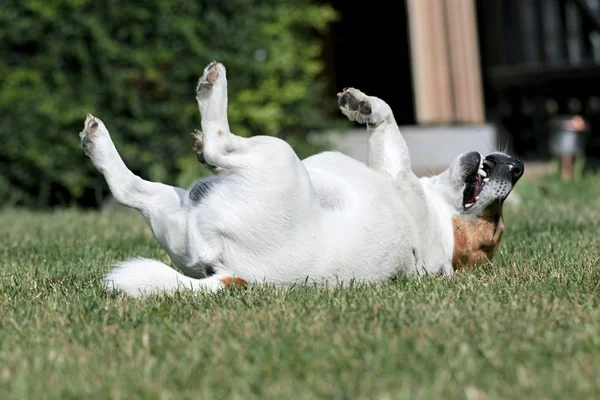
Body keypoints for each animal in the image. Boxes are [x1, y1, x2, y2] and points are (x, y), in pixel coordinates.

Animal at [78, 60, 520, 296]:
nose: (516, 167)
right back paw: (98, 141)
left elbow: (391, 125)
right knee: (128, 188)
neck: (439, 227)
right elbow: (385, 116)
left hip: (276, 155)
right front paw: (359, 104)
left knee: (218, 146)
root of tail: (239, 274)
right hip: (178, 214)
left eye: (493, 230)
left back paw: (211, 90)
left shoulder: (398, 173)